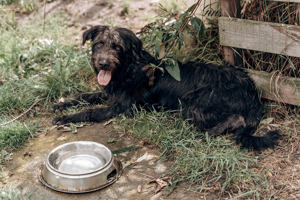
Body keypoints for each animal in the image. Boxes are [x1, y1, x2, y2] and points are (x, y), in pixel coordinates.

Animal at [52, 25, 282, 150]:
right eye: (99, 44)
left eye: (117, 47)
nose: (102, 64)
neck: (128, 68)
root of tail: (252, 93)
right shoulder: (110, 93)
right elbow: (85, 95)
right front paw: (61, 105)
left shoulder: (121, 107)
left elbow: (90, 111)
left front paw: (66, 117)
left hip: (192, 102)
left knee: (236, 119)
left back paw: (205, 134)